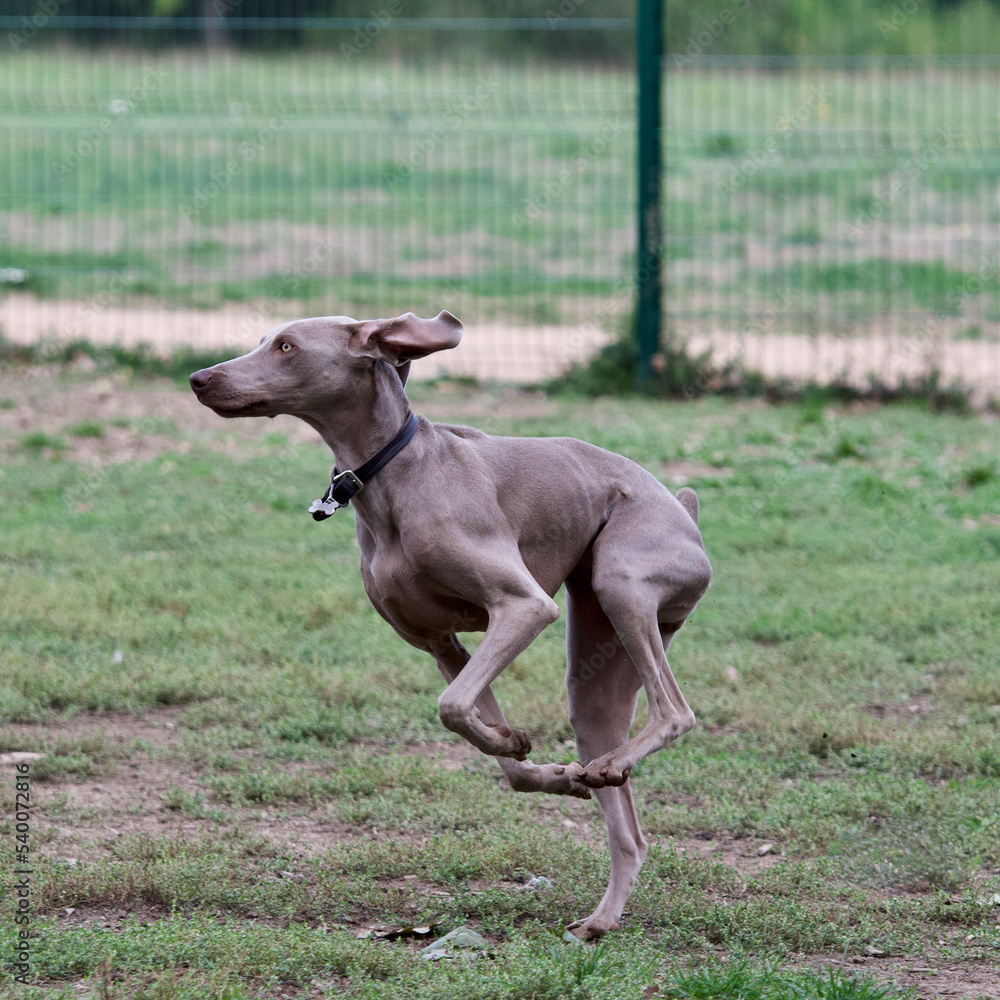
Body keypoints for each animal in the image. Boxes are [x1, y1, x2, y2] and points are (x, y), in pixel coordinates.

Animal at [189, 310, 712, 936]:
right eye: (265, 339)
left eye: (286, 346)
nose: (198, 378)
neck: (394, 474)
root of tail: (684, 508)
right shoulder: (439, 643)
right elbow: (497, 751)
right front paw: (541, 766)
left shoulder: (523, 606)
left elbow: (453, 705)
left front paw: (519, 744)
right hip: (594, 671)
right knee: (629, 828)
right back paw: (600, 911)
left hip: (621, 580)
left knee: (675, 711)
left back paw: (610, 769)